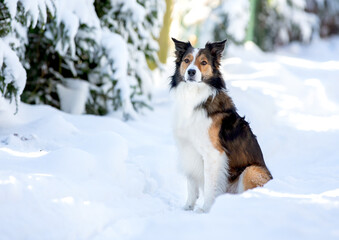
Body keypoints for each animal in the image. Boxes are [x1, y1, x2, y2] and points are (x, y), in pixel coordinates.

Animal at [171, 38, 272, 213]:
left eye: (203, 62)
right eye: (187, 60)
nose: (191, 72)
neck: (194, 96)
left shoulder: (214, 154)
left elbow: (210, 185)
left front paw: (205, 210)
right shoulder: (188, 150)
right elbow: (191, 184)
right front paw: (188, 207)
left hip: (252, 170)